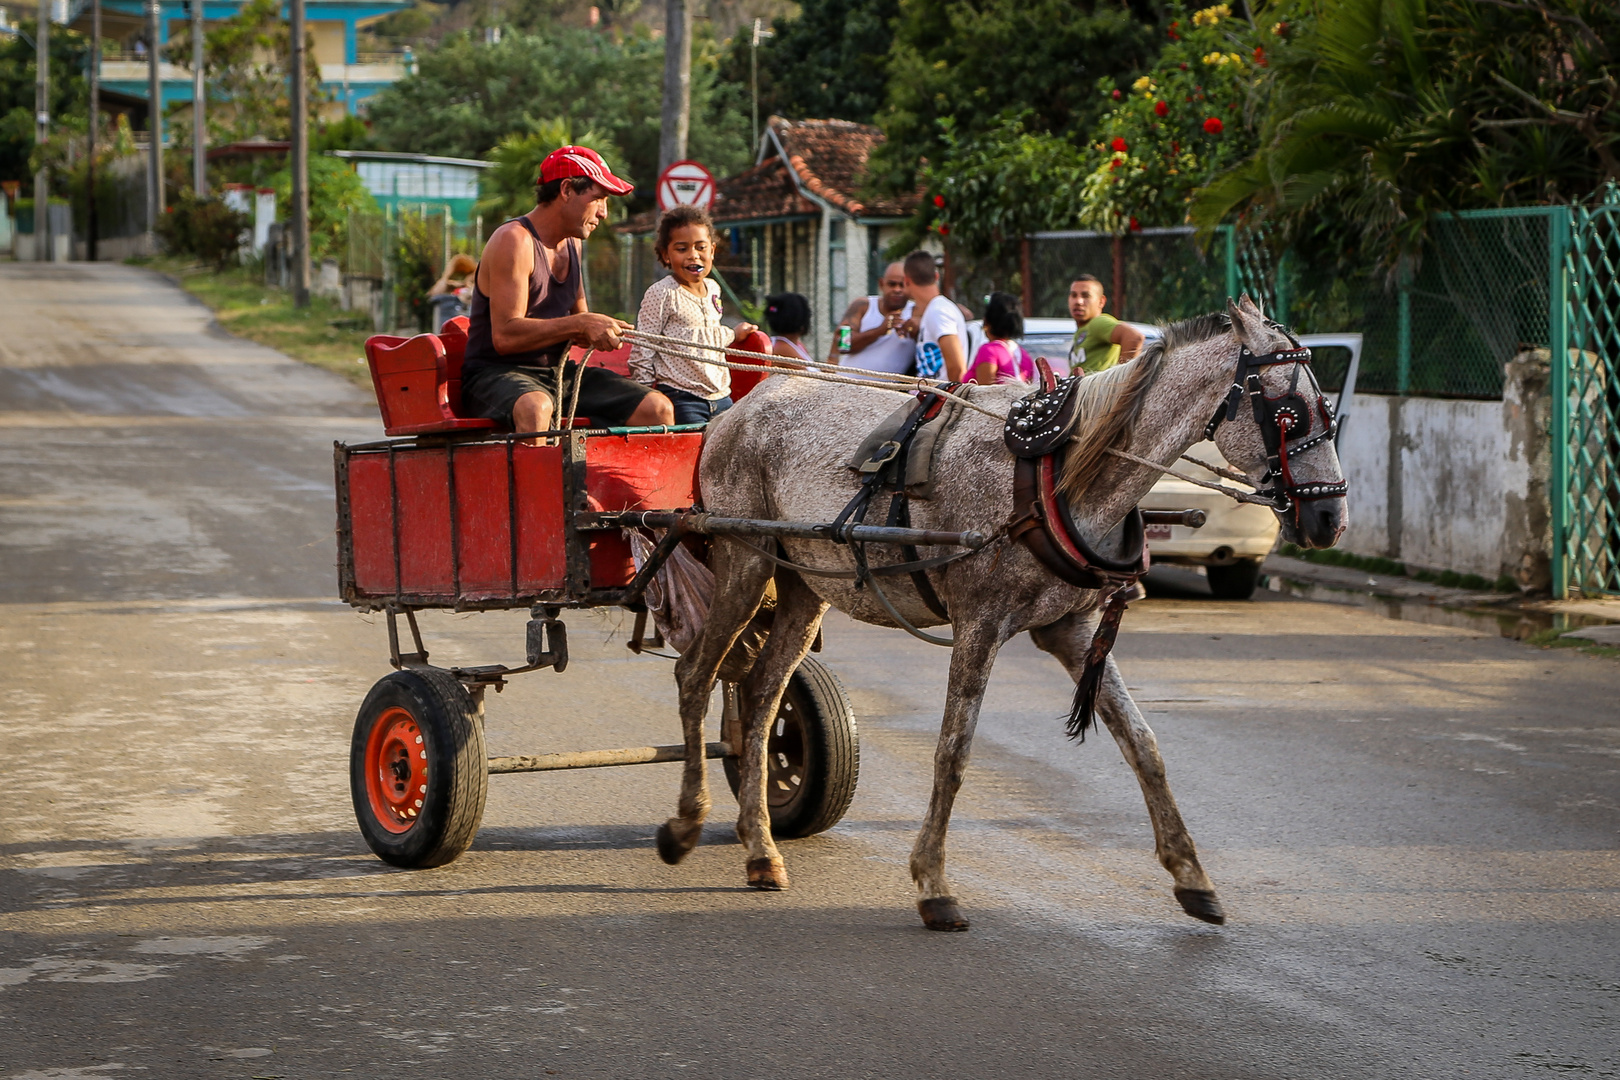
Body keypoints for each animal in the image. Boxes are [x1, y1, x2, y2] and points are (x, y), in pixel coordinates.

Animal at [651, 296, 1347, 932]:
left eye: (1331, 412)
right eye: (1291, 413)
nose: (1330, 519)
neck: (1057, 471)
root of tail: (738, 410)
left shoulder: (1071, 630)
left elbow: (1143, 744)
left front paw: (1192, 876)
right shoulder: (980, 625)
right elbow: (954, 751)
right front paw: (933, 884)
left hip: (803, 583)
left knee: (762, 692)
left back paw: (760, 849)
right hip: (744, 560)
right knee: (695, 674)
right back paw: (686, 823)